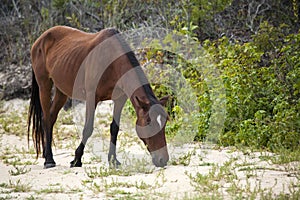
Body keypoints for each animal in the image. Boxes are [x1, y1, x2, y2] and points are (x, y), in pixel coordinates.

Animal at [27, 25, 169, 169]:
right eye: (149, 123)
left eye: (165, 122)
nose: (163, 160)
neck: (112, 62)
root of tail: (40, 40)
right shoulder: (92, 97)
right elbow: (88, 128)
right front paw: (76, 159)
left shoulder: (120, 100)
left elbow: (114, 128)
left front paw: (113, 160)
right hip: (44, 86)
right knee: (46, 118)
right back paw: (49, 160)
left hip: (62, 91)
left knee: (51, 118)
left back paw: (46, 153)